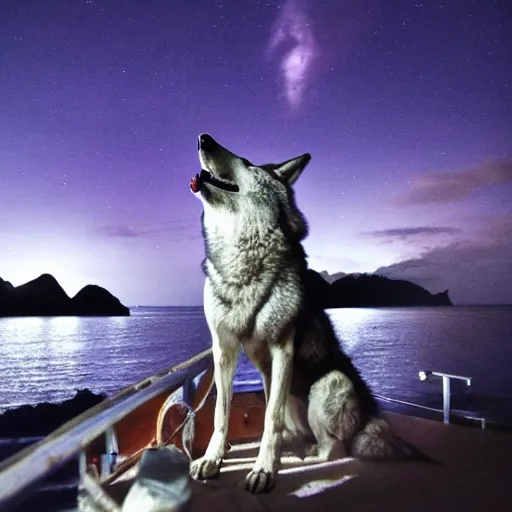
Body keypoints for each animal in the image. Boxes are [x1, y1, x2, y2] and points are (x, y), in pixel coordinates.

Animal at [188, 134, 424, 494]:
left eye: (246, 161)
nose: (204, 138)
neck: (241, 255)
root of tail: (368, 420)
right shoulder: (223, 350)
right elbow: (220, 413)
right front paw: (213, 460)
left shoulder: (282, 348)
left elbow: (269, 420)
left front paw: (264, 470)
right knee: (292, 429)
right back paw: (295, 447)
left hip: (329, 384)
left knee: (334, 448)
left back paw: (306, 456)